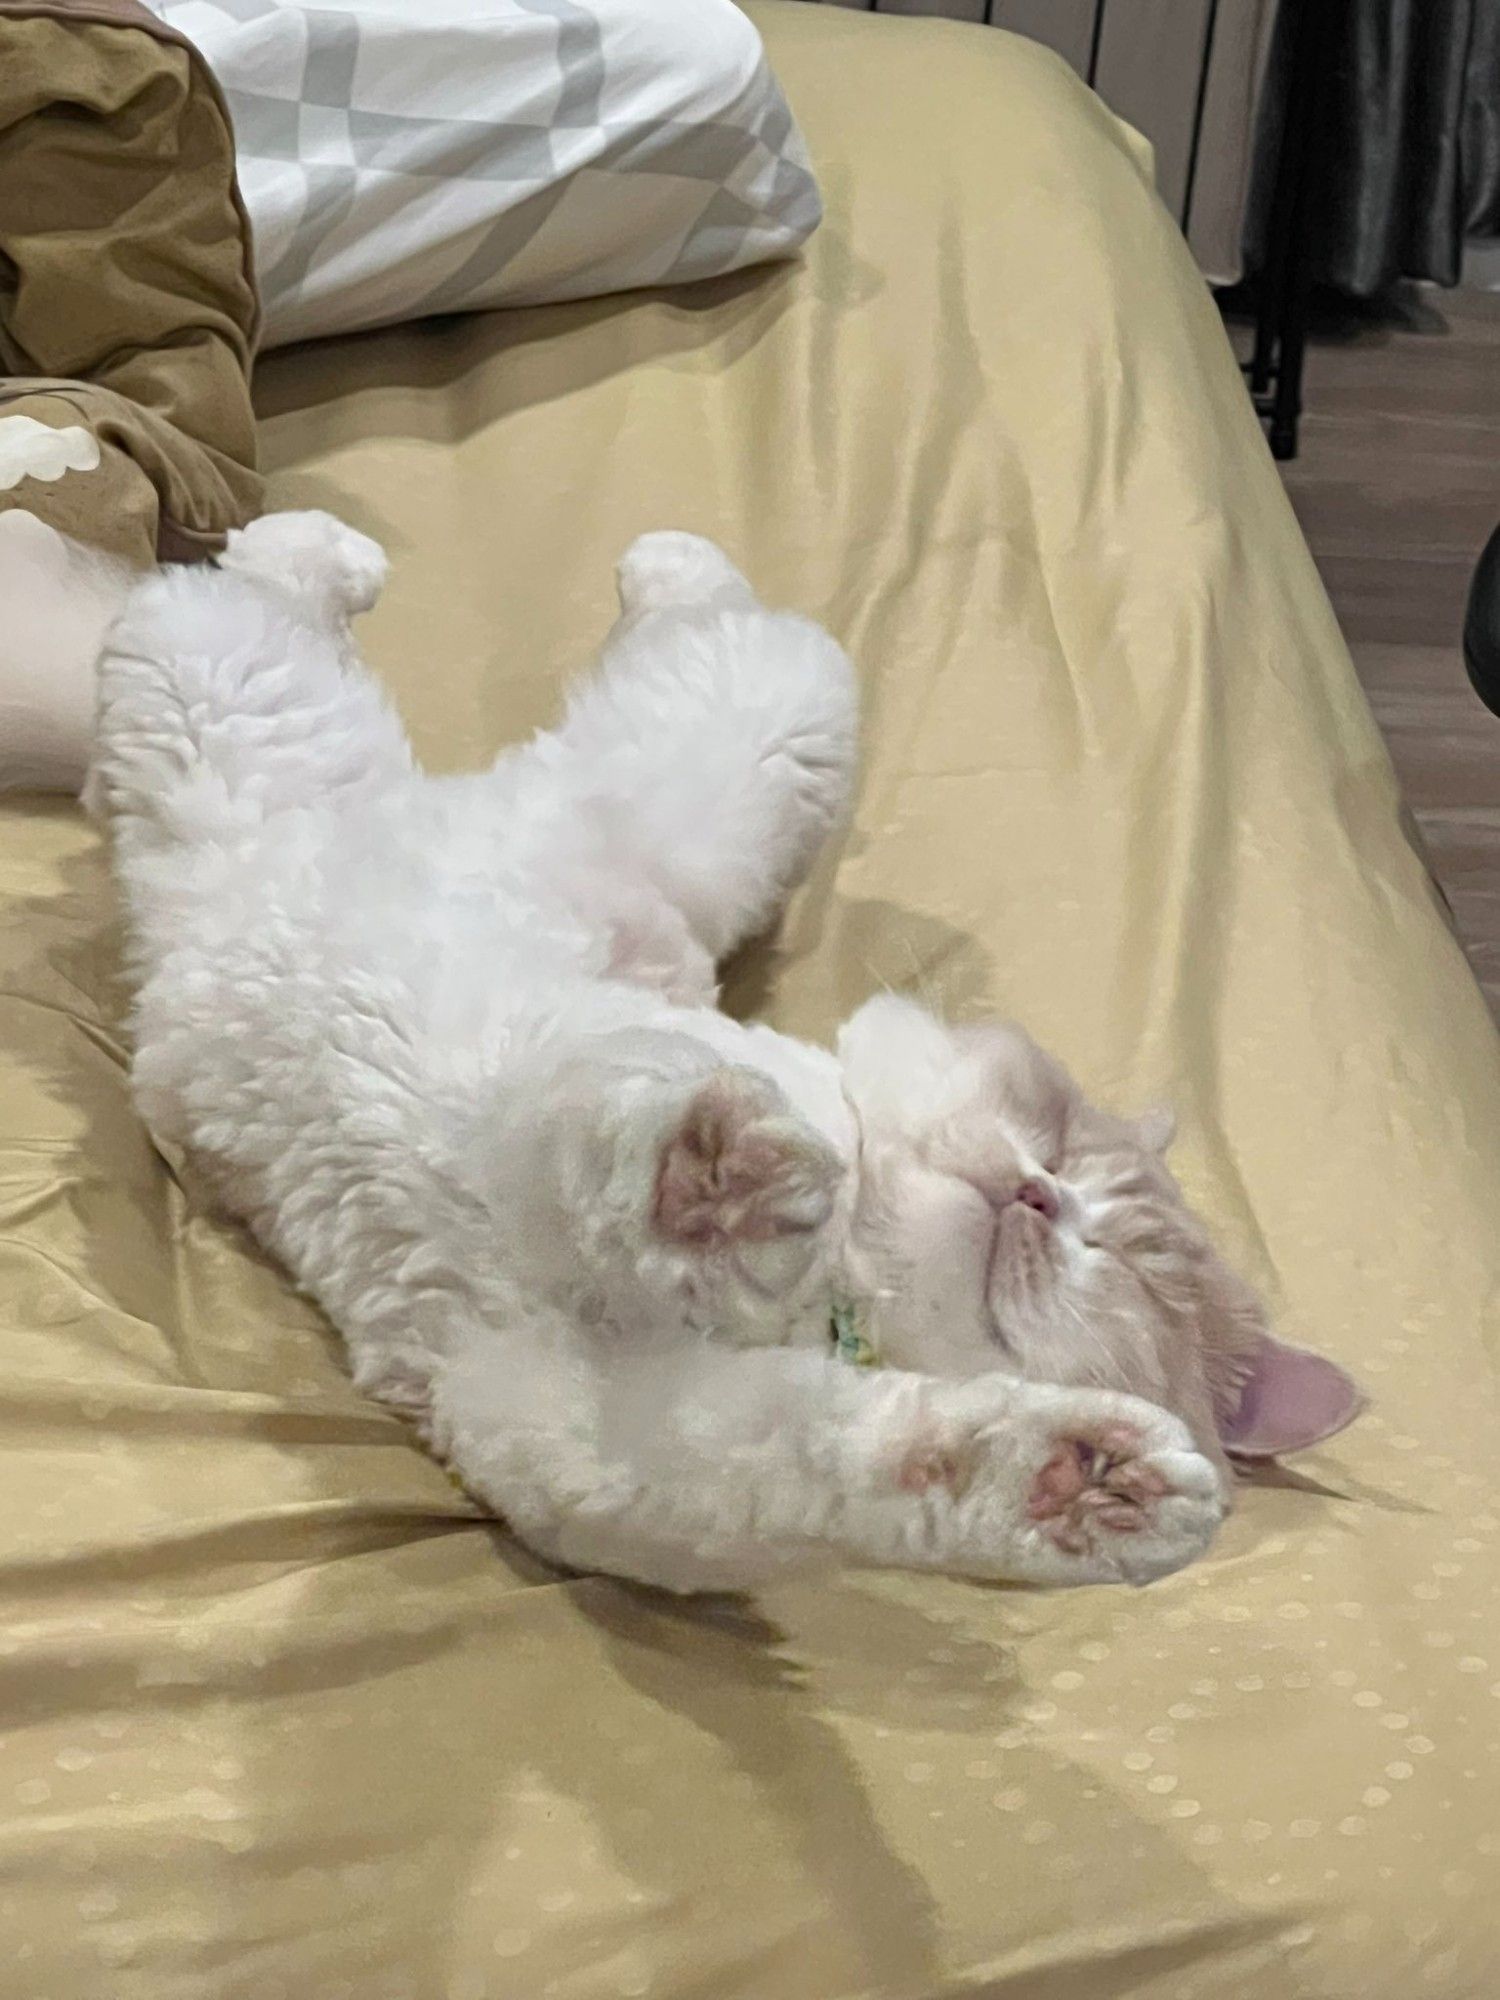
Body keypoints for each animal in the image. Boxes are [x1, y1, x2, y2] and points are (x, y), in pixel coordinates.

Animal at [91, 512, 1360, 1592]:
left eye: (1130, 1266)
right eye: (1050, 1130)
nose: (1039, 1193)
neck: (819, 1291)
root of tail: (222, 894)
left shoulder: (607, 1440)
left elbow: (868, 1461)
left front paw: (1089, 1485)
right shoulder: (572, 1078)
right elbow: (650, 1129)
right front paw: (732, 1177)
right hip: (731, 738)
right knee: (273, 573)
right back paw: (409, 555)